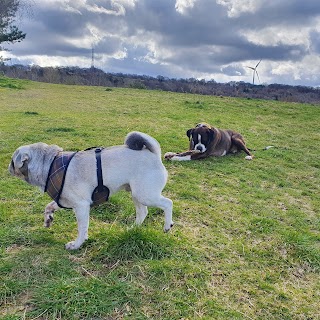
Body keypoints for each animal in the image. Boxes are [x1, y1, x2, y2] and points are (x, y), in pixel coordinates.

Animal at [8, 131, 174, 249]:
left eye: (12, 160)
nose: (8, 168)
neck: (49, 164)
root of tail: (153, 153)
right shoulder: (64, 200)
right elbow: (49, 206)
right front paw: (48, 219)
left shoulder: (81, 206)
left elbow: (82, 228)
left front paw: (77, 244)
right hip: (136, 194)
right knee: (142, 212)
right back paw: (133, 228)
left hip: (146, 194)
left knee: (168, 203)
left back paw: (167, 225)